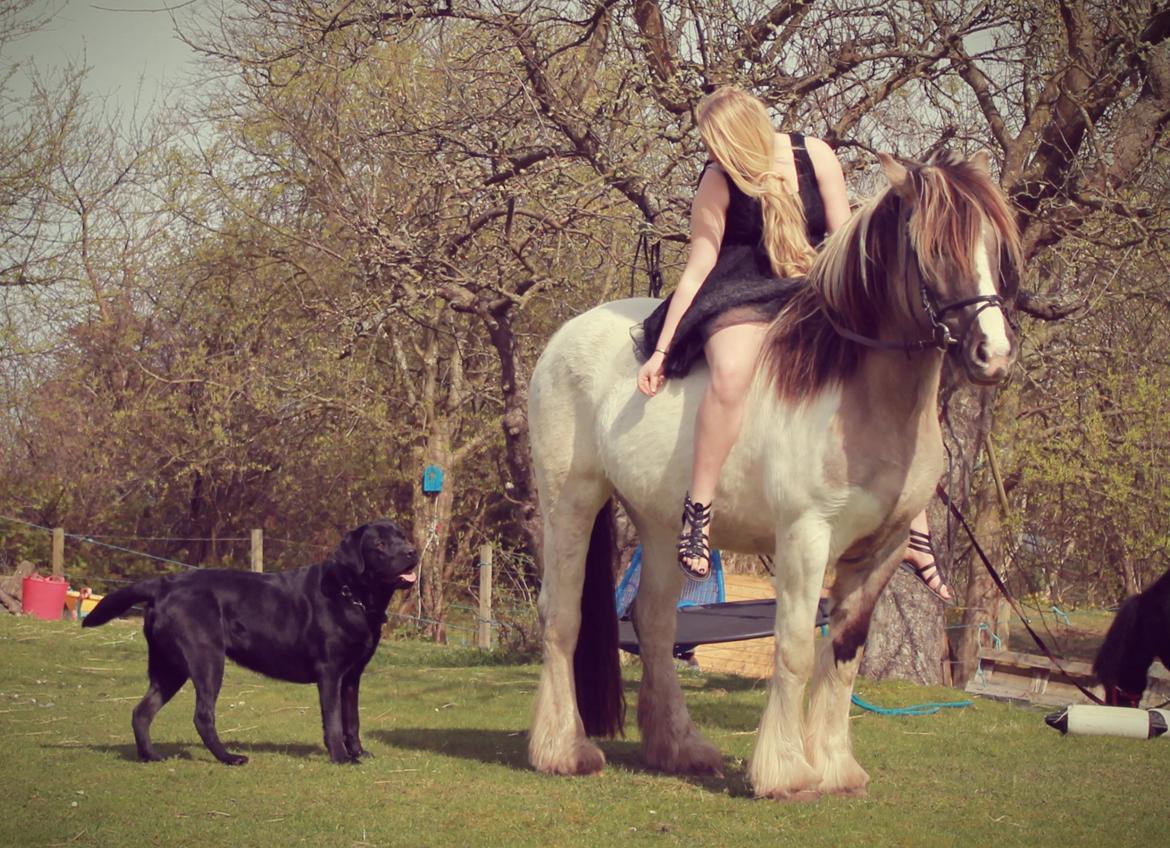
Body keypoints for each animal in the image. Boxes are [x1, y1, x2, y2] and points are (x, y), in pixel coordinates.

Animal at [80, 519, 416, 762]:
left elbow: (352, 719)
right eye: (380, 543)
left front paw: (358, 752)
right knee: (202, 715)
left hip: (169, 667)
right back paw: (229, 757)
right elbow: (333, 719)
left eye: (402, 536)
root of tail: (164, 584)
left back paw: (150, 755)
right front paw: (341, 757)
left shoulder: (352, 676)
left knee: (142, 712)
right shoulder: (330, 672)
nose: (412, 551)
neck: (351, 594)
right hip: (206, 659)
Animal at [526, 154, 1020, 800]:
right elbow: (794, 649)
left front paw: (836, 768)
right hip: (570, 502)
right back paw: (563, 750)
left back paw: (679, 747)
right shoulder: (806, 538)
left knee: (654, 623)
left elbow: (844, 655)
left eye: (993, 246)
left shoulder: (880, 550)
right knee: (562, 617)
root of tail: (567, 336)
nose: (994, 354)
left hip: (658, 525)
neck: (856, 393)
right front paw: (786, 772)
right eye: (933, 249)